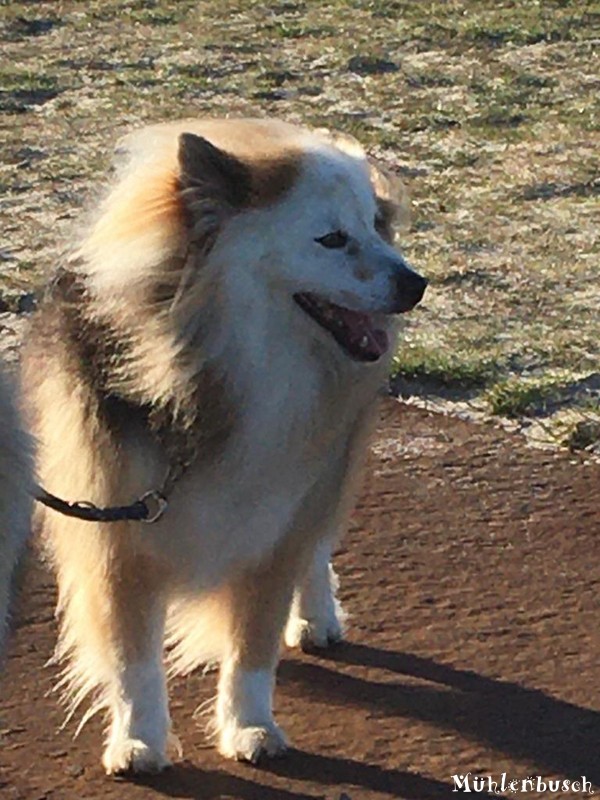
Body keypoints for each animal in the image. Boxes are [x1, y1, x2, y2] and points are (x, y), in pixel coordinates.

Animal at [22, 115, 426, 772]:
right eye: (332, 239)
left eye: (374, 225)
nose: (417, 284)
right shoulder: (115, 531)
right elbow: (133, 660)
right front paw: (139, 740)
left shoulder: (275, 524)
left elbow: (252, 647)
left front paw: (251, 726)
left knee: (316, 545)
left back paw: (317, 616)